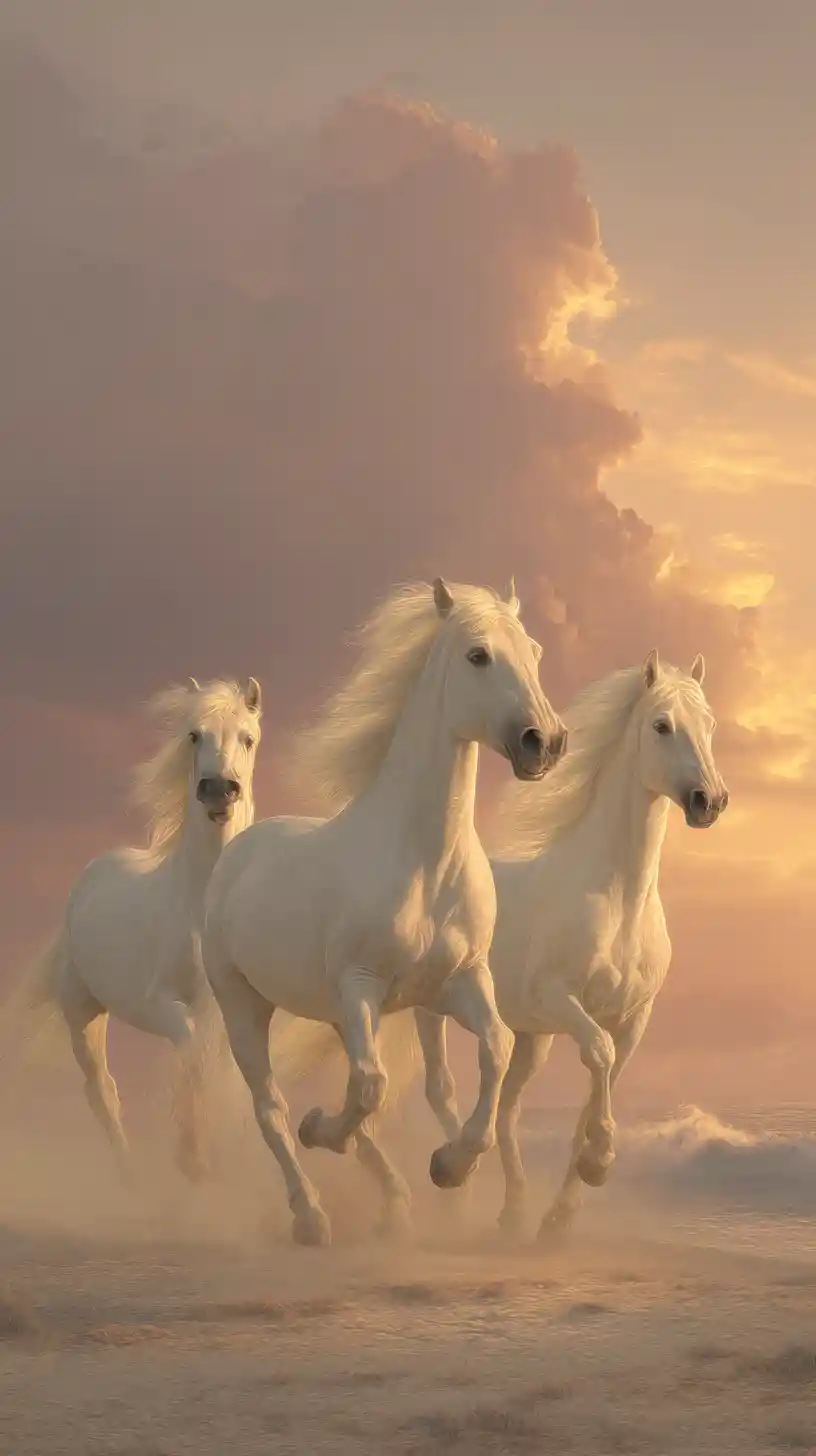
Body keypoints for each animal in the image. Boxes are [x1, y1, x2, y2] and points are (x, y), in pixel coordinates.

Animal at [4, 677, 261, 1182]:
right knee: (102, 1091)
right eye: (194, 735)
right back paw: (130, 1179)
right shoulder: (161, 1004)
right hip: (83, 1015)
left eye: (248, 738)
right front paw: (192, 1156)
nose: (219, 790)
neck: (199, 904)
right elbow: (191, 1055)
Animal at [202, 577, 566, 1247]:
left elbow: (496, 1050)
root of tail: (238, 851)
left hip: (334, 1011)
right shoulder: (363, 985)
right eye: (478, 655)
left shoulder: (455, 983)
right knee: (271, 1108)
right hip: (245, 1004)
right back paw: (311, 1211)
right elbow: (372, 1086)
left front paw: (450, 1165)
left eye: (534, 650)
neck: (425, 861)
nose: (545, 743)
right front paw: (322, 1130)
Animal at [413, 649, 729, 1240]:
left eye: (711, 725)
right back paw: (451, 1169)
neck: (620, 901)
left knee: (508, 1109)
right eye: (661, 725)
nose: (710, 801)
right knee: (442, 1088)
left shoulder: (633, 1017)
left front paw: (560, 1215)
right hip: (432, 1010)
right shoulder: (560, 1001)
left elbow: (597, 1092)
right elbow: (598, 1056)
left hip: (531, 1038)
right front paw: (599, 1162)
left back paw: (514, 1211)